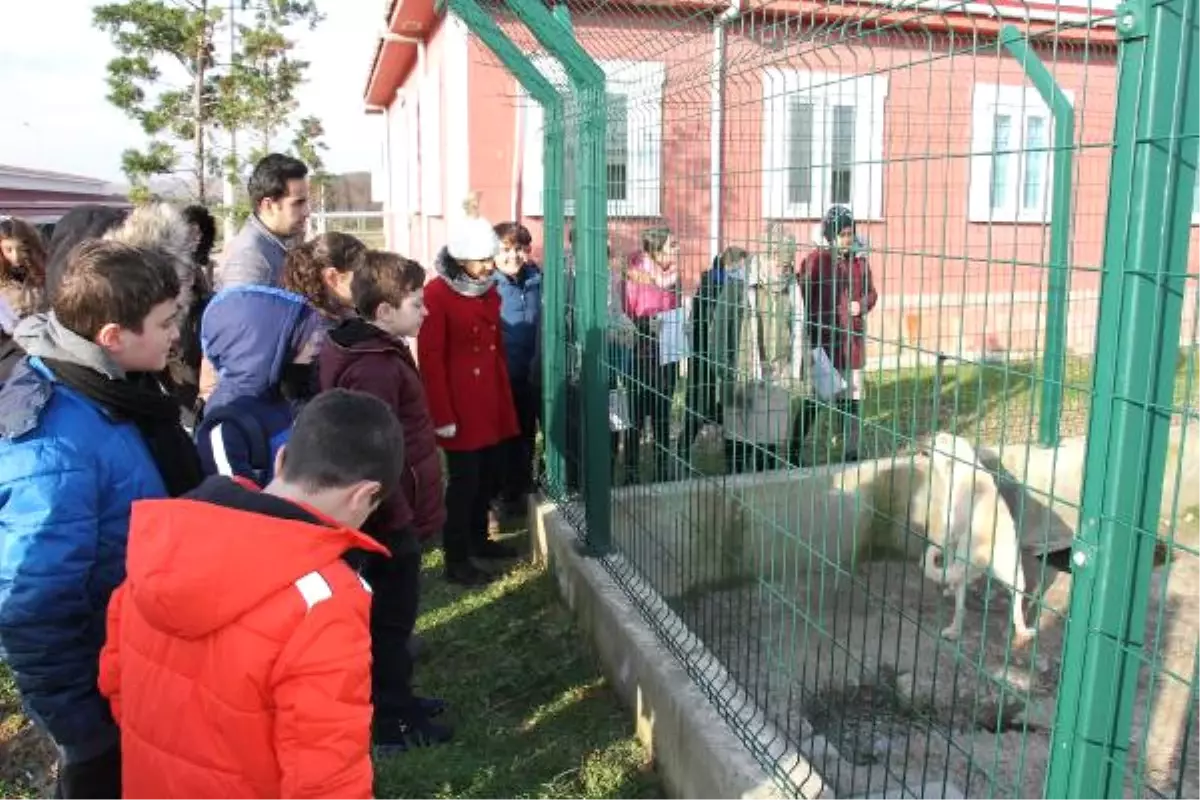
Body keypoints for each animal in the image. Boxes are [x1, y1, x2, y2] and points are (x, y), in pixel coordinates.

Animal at [916, 431, 1032, 642]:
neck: (965, 466)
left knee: (961, 608)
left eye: (936, 441)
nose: (921, 437)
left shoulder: (951, 535)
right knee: (1017, 603)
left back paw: (952, 631)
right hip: (1015, 573)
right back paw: (1022, 631)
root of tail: (983, 551)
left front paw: (947, 588)